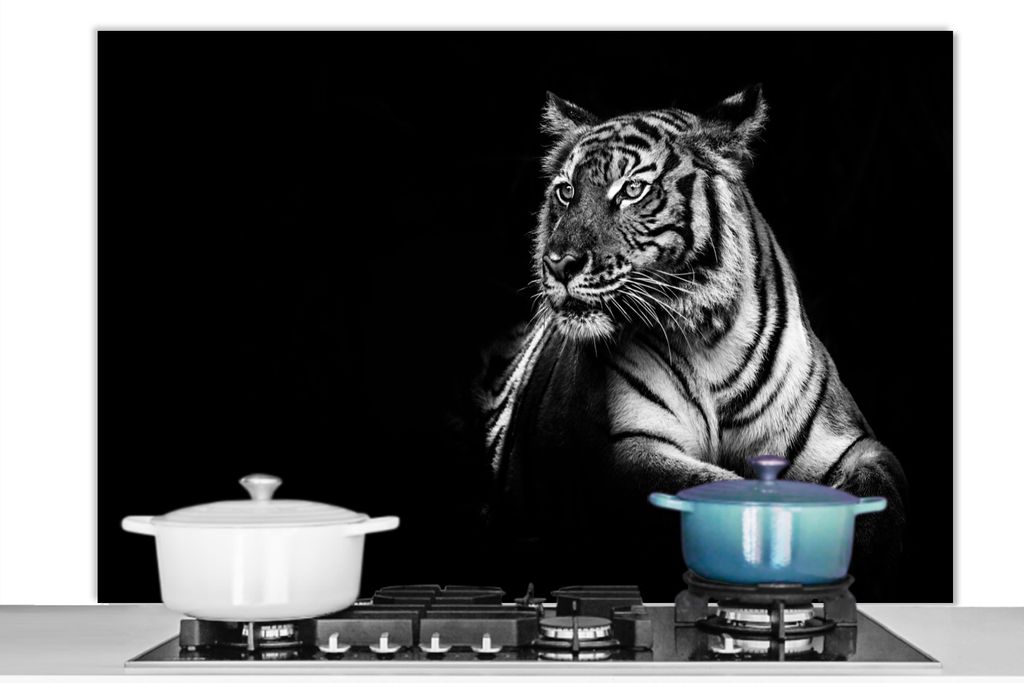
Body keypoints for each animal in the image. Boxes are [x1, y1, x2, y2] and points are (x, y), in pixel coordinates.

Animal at [477, 85, 908, 600]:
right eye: (566, 192)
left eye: (632, 190)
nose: (558, 263)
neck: (712, 339)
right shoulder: (628, 448)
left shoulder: (850, 444)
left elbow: (880, 499)